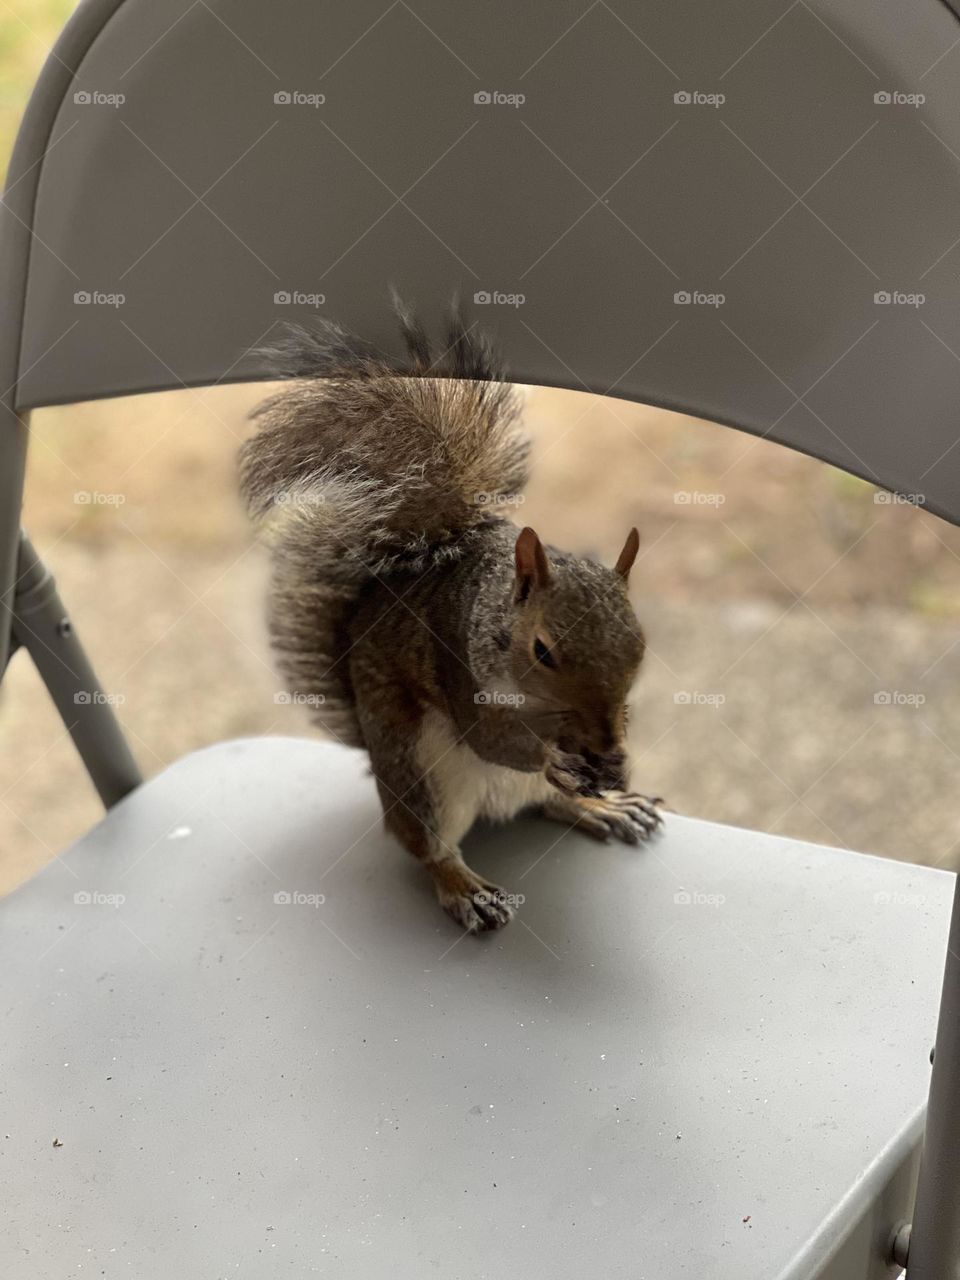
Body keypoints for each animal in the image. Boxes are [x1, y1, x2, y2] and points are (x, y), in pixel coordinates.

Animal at [240, 300, 663, 934]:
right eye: (542, 650)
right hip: (420, 776)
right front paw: (557, 759)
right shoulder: (457, 665)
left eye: (640, 642)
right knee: (427, 845)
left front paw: (616, 765)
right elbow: (492, 738)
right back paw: (465, 886)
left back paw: (600, 806)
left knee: (548, 803)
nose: (605, 739)